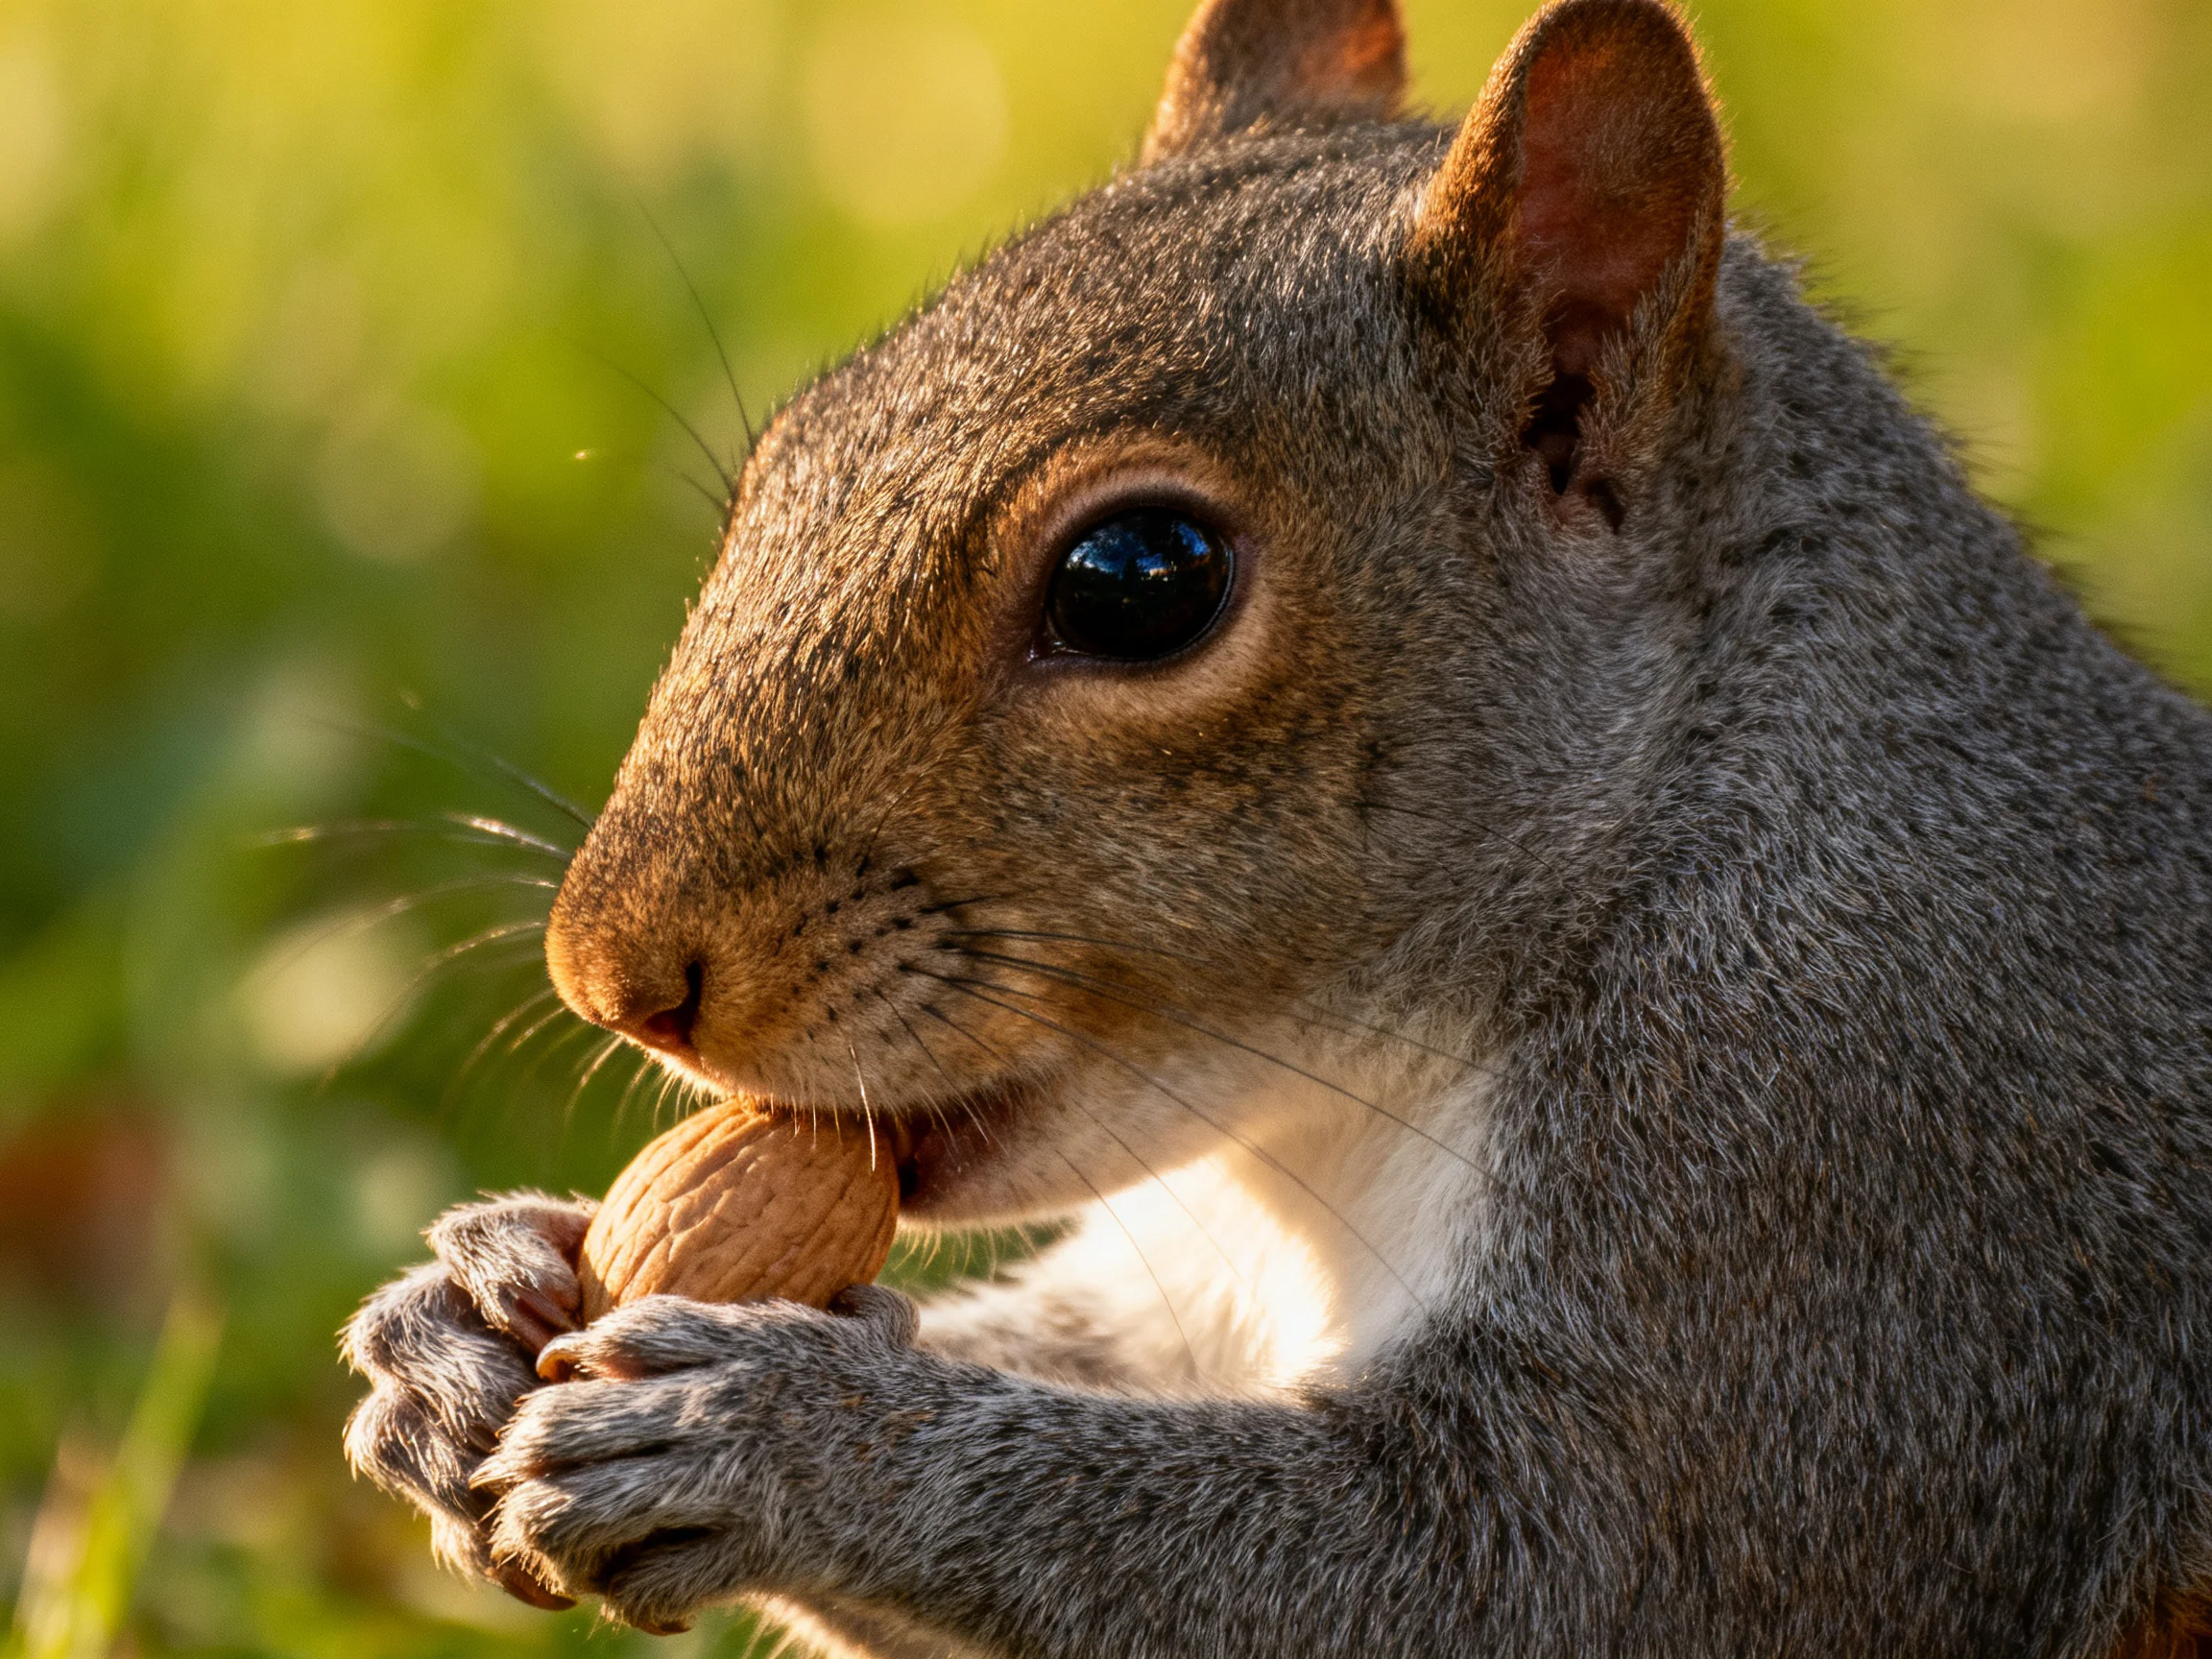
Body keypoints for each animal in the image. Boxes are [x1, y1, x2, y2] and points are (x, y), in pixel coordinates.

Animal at [339, 0, 2212, 1653]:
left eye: (1138, 580)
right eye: (782, 458)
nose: (609, 976)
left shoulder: (1837, 1192)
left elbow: (1531, 1579)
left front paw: (783, 1434)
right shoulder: (1186, 1276)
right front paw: (471, 1313)